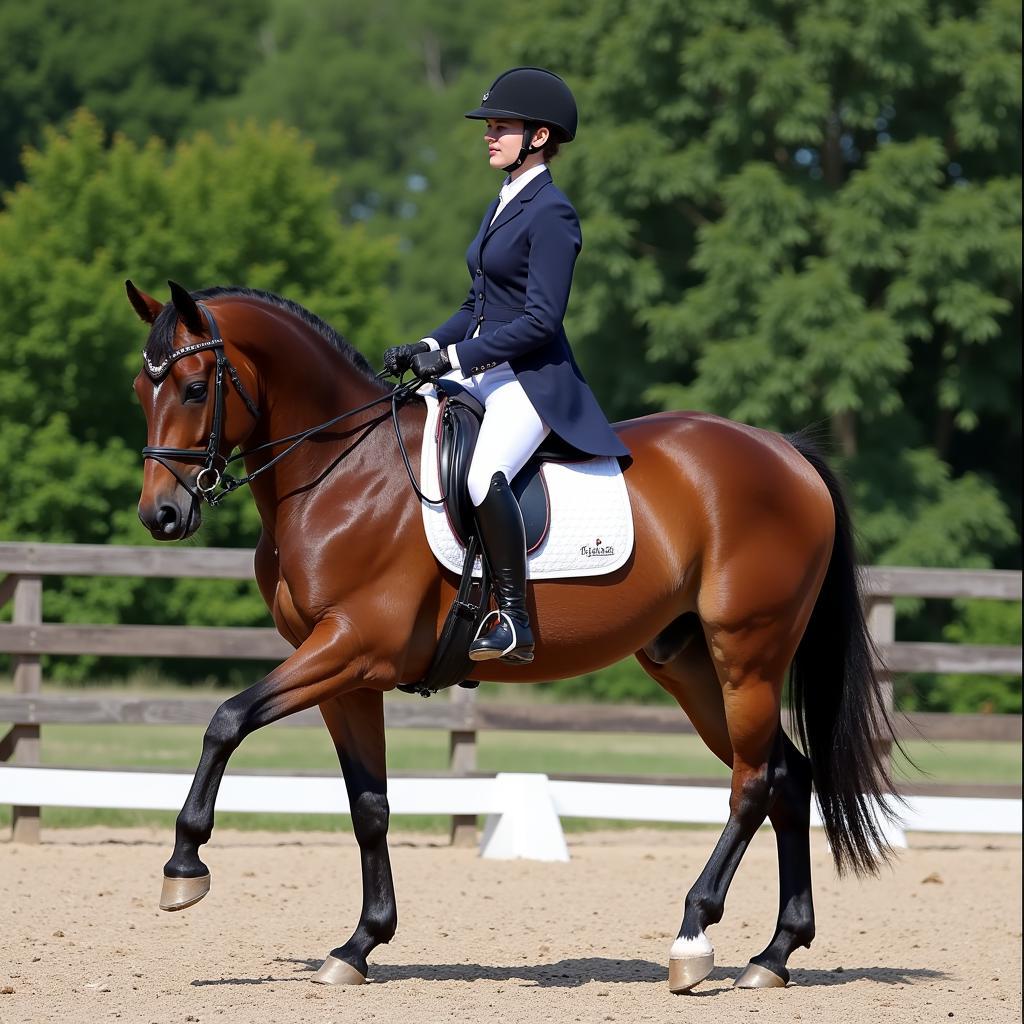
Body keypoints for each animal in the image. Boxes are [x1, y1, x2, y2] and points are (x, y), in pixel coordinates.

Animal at [128, 278, 897, 991]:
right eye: (143, 388)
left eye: (193, 388)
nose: (161, 516)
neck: (339, 473)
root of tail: (784, 451)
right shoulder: (346, 675)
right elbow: (369, 805)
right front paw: (359, 945)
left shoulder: (349, 645)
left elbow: (226, 720)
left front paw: (184, 867)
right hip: (688, 662)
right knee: (788, 776)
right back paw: (774, 954)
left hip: (747, 652)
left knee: (752, 784)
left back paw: (692, 939)